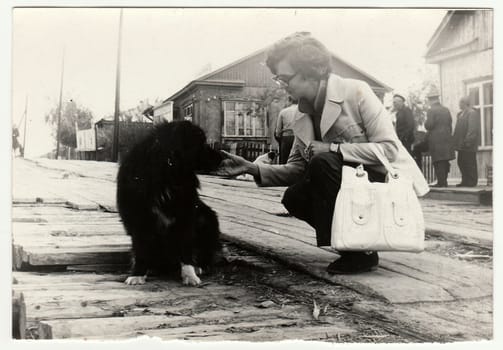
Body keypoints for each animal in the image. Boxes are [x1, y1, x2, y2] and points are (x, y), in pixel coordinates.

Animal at [117, 121, 223, 286]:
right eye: (202, 143)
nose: (222, 157)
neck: (167, 174)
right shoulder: (138, 219)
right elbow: (140, 249)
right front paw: (138, 274)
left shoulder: (186, 217)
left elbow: (186, 249)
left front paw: (190, 275)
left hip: (207, 218)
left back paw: (199, 266)